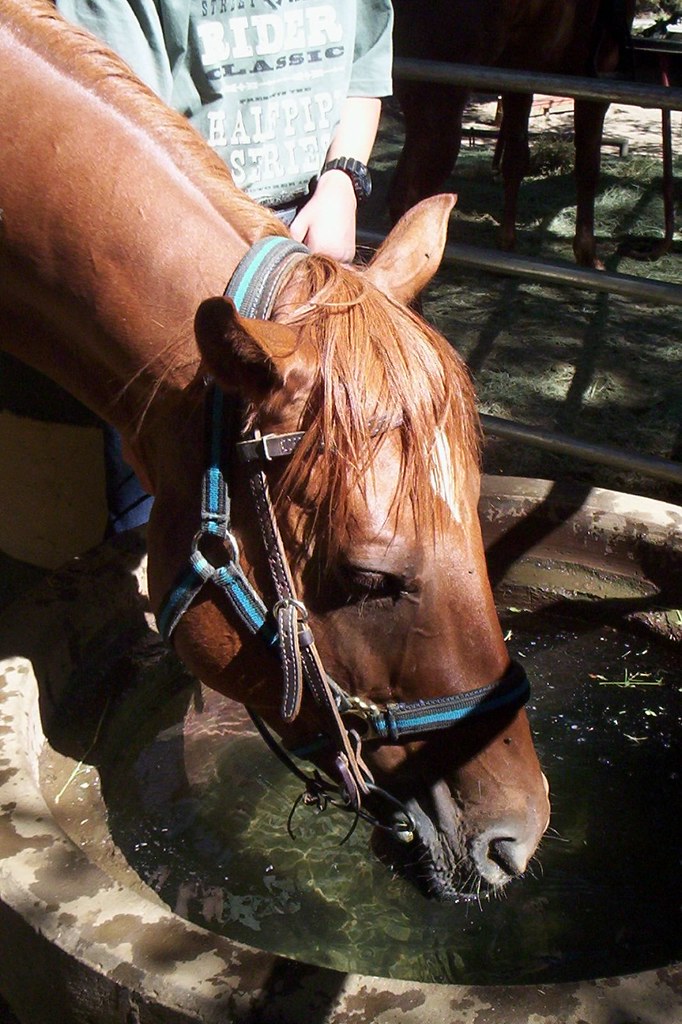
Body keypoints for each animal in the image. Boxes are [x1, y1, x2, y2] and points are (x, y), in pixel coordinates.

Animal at [390, 0, 635, 268]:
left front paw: (506, 243)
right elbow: (588, 167)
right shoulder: (595, 81)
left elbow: (515, 161)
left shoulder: (520, 76)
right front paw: (587, 254)